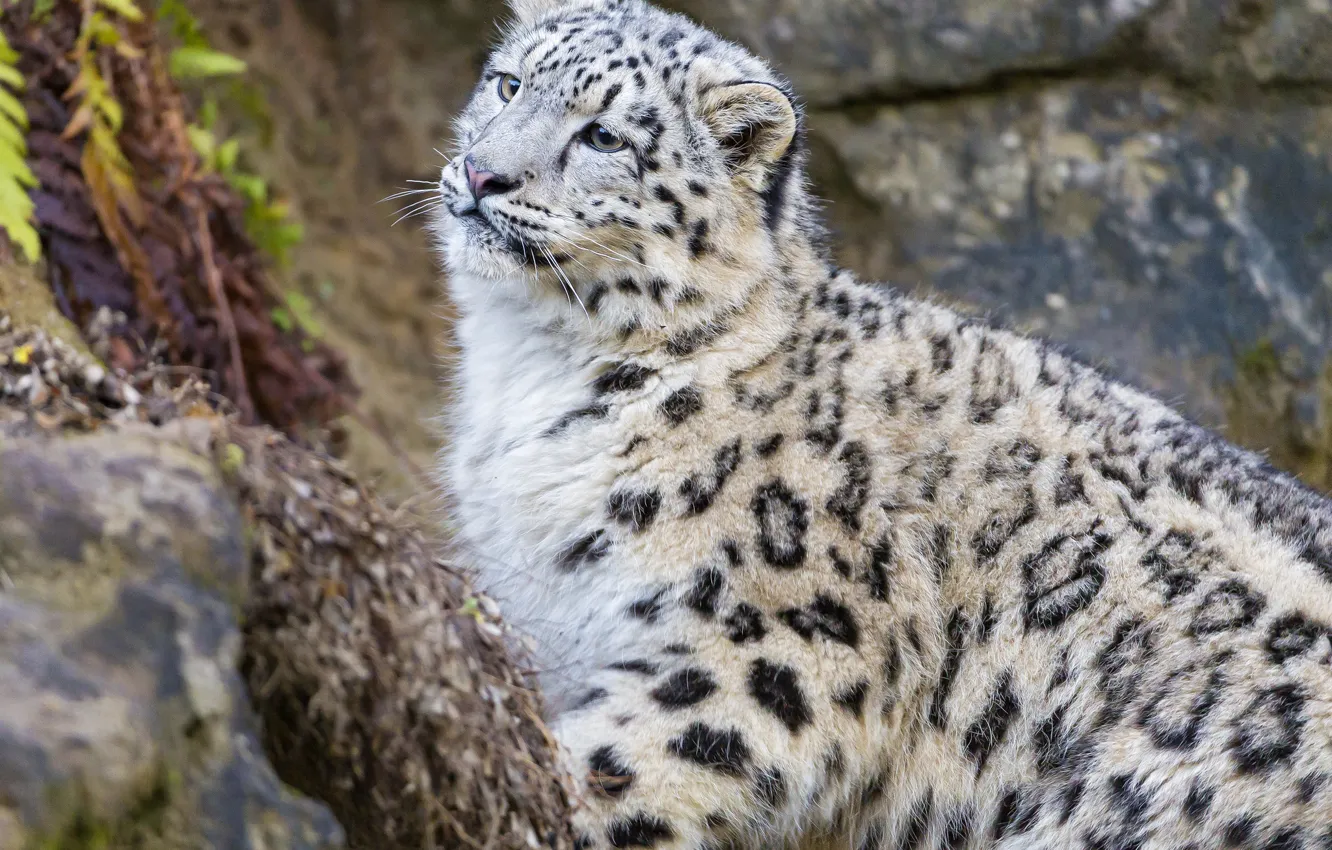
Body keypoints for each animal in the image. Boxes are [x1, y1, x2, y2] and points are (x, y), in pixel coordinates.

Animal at [428, 0, 1332, 847]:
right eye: (508, 84)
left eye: (604, 135)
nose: (482, 173)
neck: (528, 370)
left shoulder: (779, 644)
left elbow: (620, 762)